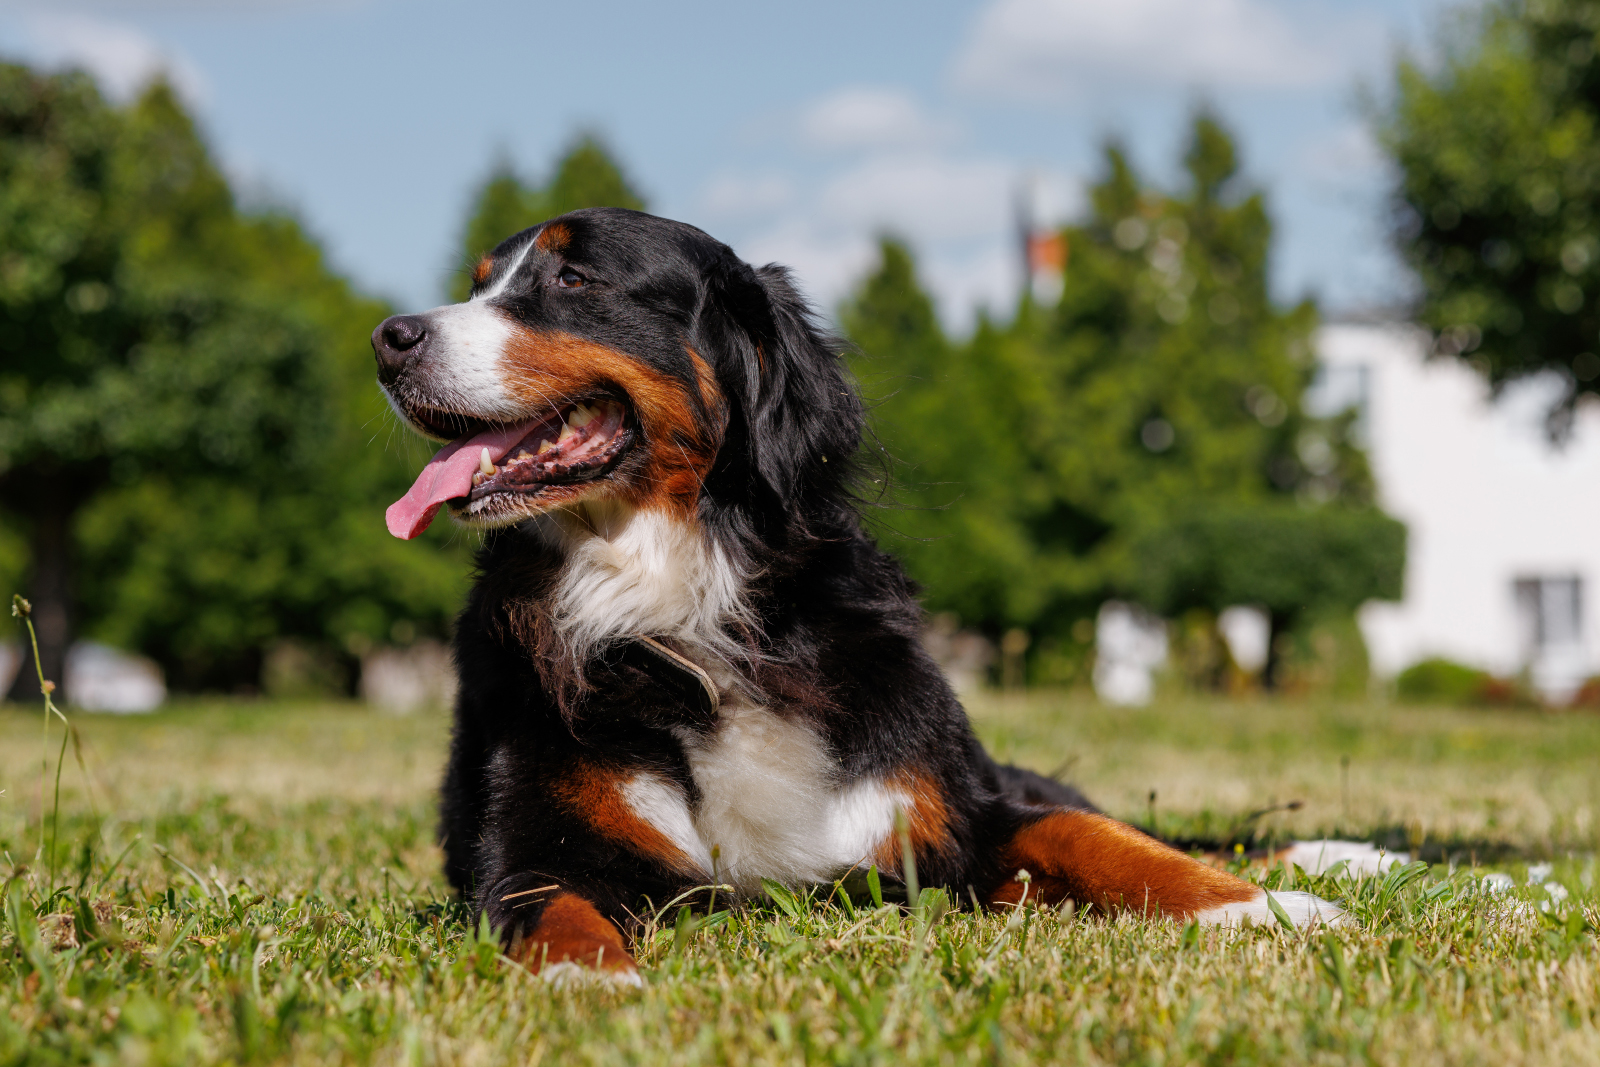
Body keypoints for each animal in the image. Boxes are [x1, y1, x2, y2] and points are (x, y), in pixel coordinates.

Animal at [371, 206, 1337, 985]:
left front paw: (1259, 907)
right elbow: (555, 906)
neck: (683, 607)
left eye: (573, 279)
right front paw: (586, 980)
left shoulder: (951, 811)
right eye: (480, 285)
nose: (388, 338)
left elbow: (1091, 832)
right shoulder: (535, 846)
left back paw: (1339, 852)